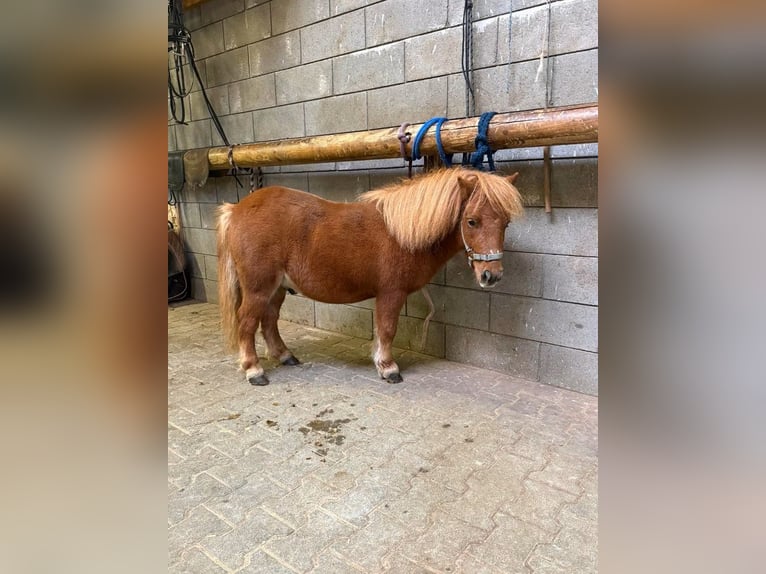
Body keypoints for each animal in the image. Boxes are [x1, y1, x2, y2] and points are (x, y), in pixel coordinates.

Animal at [216, 167, 523, 386]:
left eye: (506, 222)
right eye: (472, 221)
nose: (491, 275)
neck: (401, 233)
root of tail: (236, 209)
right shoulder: (391, 293)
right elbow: (387, 329)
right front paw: (388, 368)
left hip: (277, 288)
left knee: (268, 321)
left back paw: (285, 356)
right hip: (258, 288)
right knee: (247, 323)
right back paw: (254, 370)